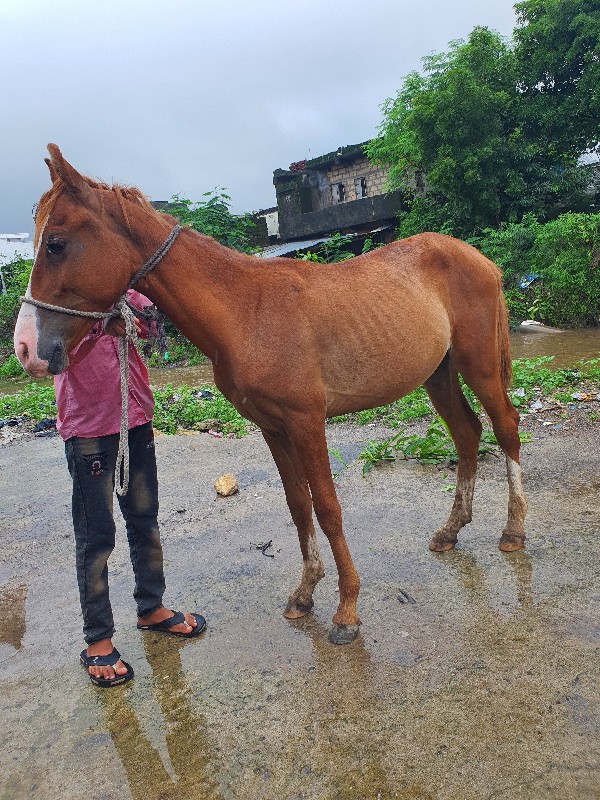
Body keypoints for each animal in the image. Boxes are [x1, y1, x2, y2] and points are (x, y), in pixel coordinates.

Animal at [15, 144, 528, 644]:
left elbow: (327, 507)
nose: (26, 349)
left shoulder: (306, 421)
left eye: (56, 243)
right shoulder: (273, 427)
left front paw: (347, 610)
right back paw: (450, 531)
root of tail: (479, 258)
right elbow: (298, 506)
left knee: (505, 427)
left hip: (478, 365)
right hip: (438, 374)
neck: (245, 312)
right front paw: (304, 594)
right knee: (467, 433)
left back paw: (514, 531)